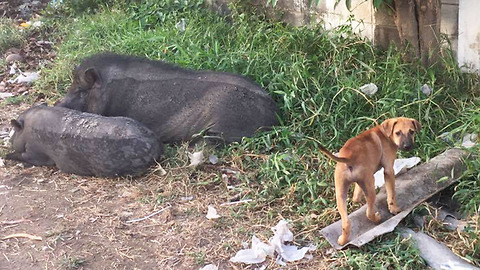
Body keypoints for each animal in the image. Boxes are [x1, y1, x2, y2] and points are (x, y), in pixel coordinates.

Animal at [318, 117, 420, 246]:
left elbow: (357, 193)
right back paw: (377, 219)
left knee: (346, 222)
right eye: (398, 133)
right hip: (370, 186)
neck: (385, 134)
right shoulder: (389, 171)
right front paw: (394, 209)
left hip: (341, 191)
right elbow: (391, 193)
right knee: (369, 213)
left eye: (411, 132)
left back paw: (342, 240)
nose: (407, 146)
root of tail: (348, 157)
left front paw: (358, 198)